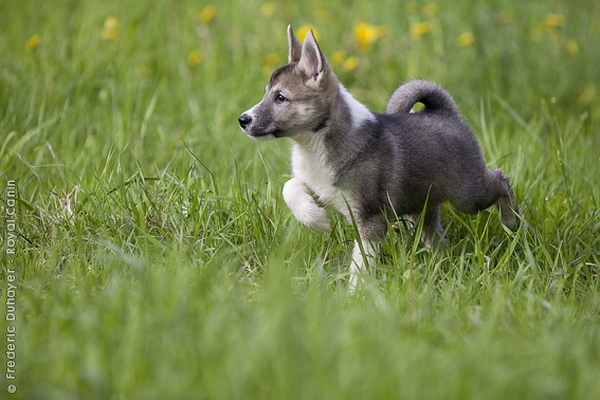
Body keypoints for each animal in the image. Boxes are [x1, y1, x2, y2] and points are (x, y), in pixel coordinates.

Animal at [237, 25, 516, 292]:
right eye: (266, 94)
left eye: (280, 97)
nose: (242, 120)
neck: (313, 145)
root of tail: (446, 112)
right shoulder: (318, 187)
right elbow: (290, 187)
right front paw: (317, 220)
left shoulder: (370, 217)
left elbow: (361, 259)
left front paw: (355, 293)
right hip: (421, 207)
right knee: (436, 234)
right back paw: (438, 262)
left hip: (468, 195)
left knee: (501, 180)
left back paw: (512, 222)